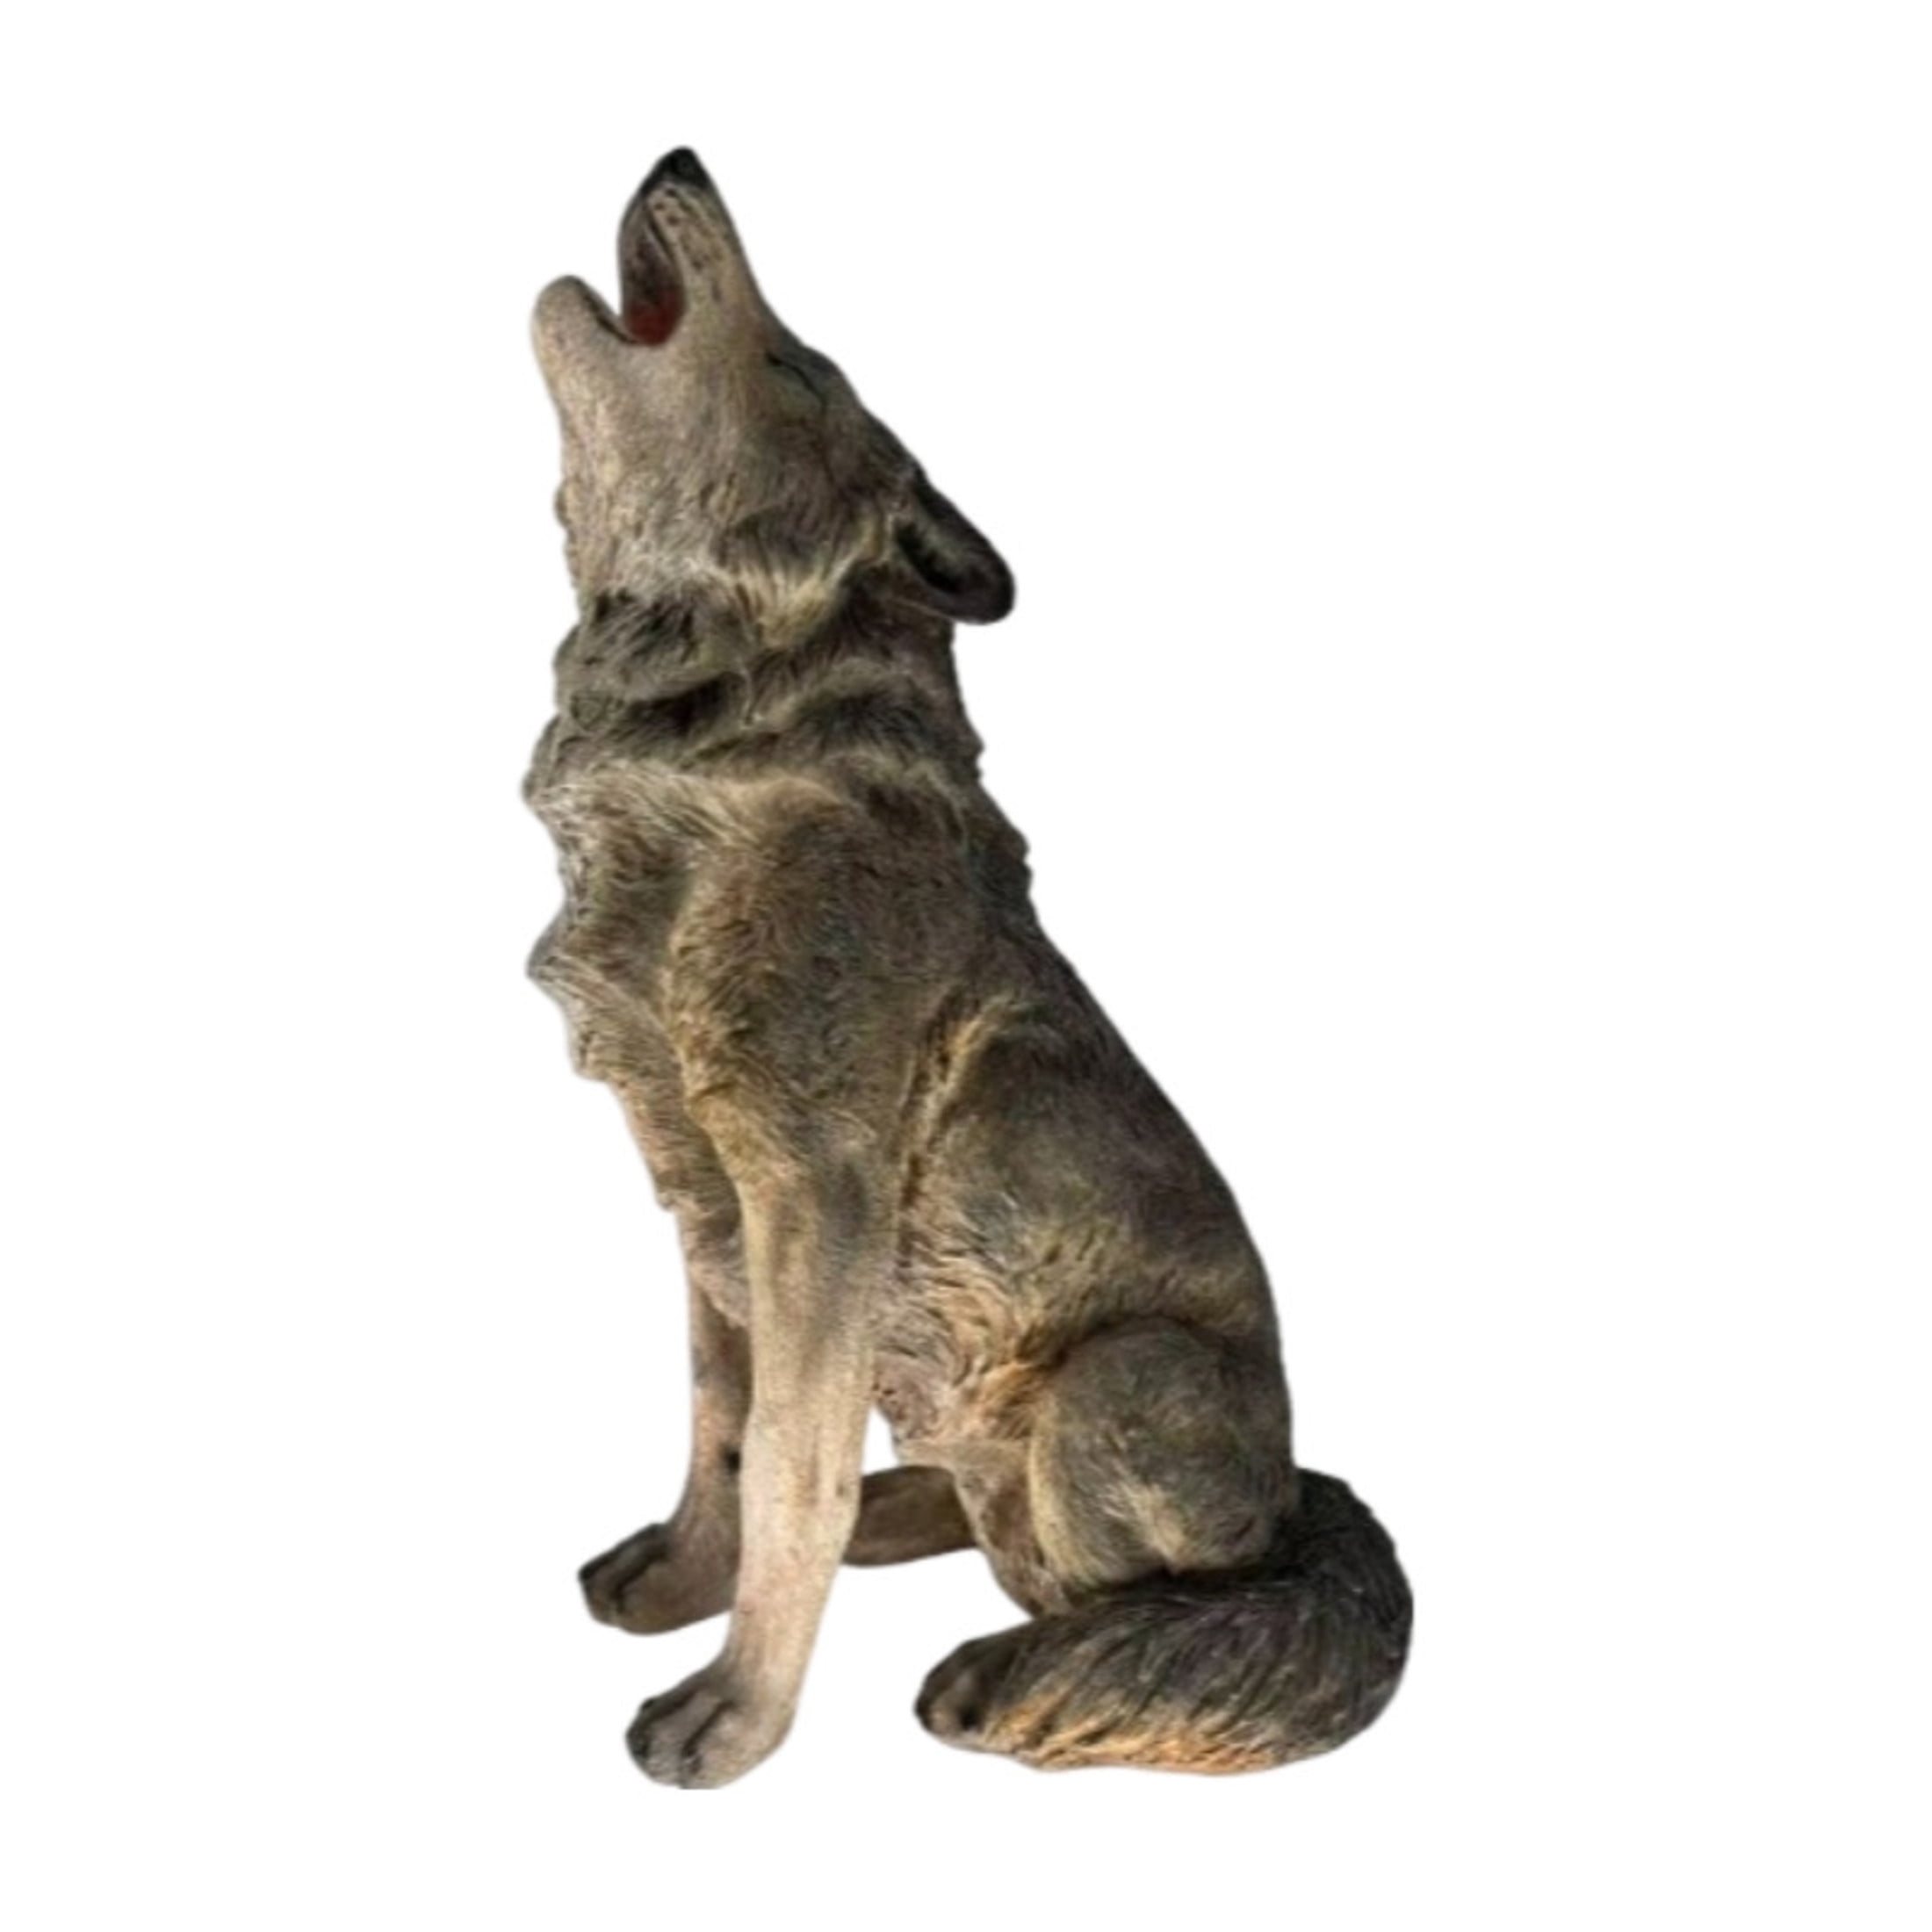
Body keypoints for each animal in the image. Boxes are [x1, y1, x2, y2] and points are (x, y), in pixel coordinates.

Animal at [525, 148, 1411, 1787]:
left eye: (797, 371)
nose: (680, 159)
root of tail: (1296, 1499)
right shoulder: (702, 1188)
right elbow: (722, 1425)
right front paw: (689, 1577)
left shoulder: (815, 1188)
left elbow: (789, 1464)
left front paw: (735, 1716)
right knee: (973, 1492)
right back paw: (905, 1519)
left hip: (1123, 1382)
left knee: (1145, 1587)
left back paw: (1028, 1657)